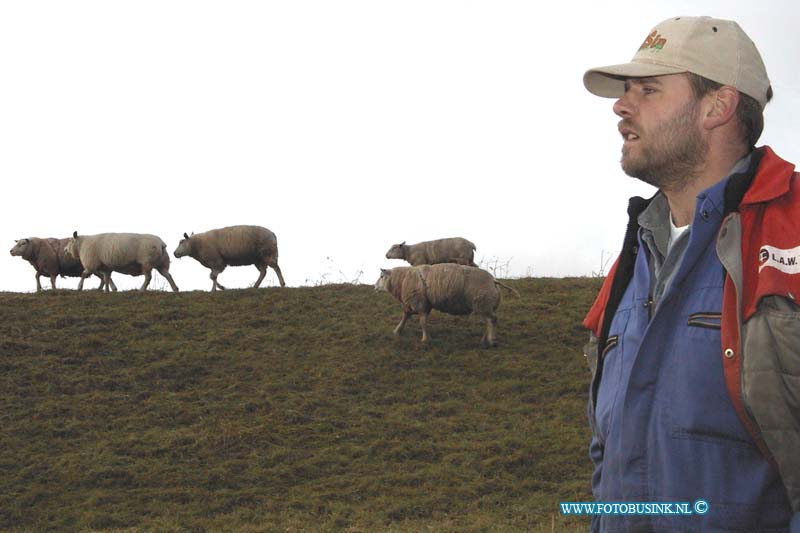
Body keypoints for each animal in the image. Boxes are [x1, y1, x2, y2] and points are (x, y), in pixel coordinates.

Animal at [376, 264, 520, 348]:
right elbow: (405, 316)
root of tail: (494, 281)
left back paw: (491, 340)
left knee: (492, 320)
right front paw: (397, 331)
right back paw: (484, 339)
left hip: (483, 303)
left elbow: (422, 322)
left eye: (381, 276)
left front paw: (425, 339)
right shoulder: (416, 304)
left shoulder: (420, 303)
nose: (374, 287)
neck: (402, 279)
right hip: (485, 305)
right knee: (489, 321)